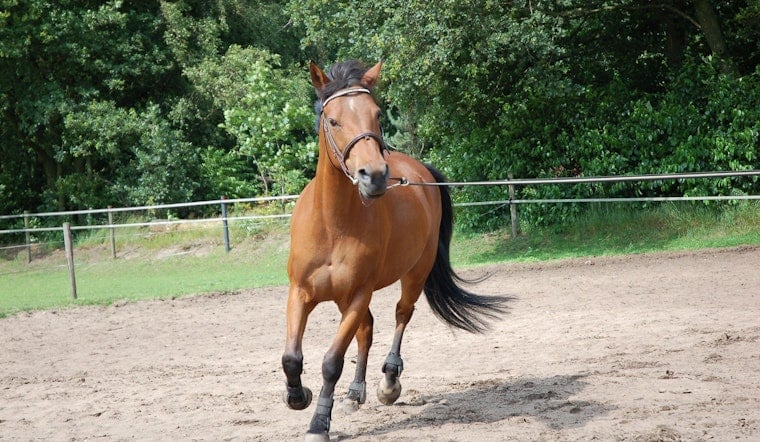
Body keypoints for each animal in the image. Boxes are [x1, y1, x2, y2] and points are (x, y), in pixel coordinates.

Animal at [282, 60, 508, 441]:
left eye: (376, 115)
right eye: (333, 121)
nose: (373, 175)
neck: (332, 224)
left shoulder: (359, 294)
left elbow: (331, 362)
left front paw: (318, 423)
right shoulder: (301, 293)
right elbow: (291, 358)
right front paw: (297, 397)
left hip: (413, 275)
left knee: (402, 315)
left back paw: (389, 382)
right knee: (367, 331)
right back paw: (354, 394)